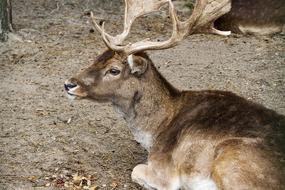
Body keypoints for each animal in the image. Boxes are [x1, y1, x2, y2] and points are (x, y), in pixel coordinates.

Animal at [64, 0, 284, 189]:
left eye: (114, 70)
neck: (156, 130)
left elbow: (137, 171)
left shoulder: (164, 168)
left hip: (232, 159)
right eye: (97, 58)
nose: (69, 84)